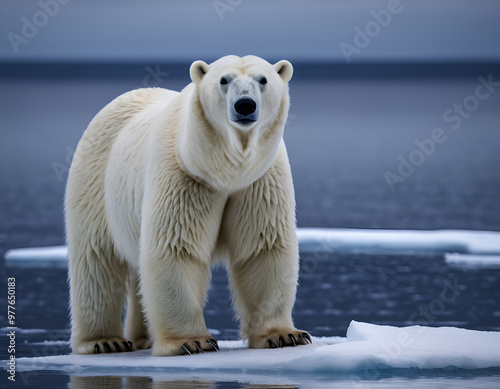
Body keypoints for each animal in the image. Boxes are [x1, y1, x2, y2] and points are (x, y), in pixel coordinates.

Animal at [64, 54, 310, 354]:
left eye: (262, 79)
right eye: (224, 79)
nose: (245, 105)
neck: (225, 170)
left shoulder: (259, 182)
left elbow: (262, 247)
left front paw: (285, 336)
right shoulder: (185, 176)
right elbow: (176, 247)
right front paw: (192, 341)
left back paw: (143, 337)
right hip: (95, 182)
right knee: (96, 261)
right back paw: (105, 341)